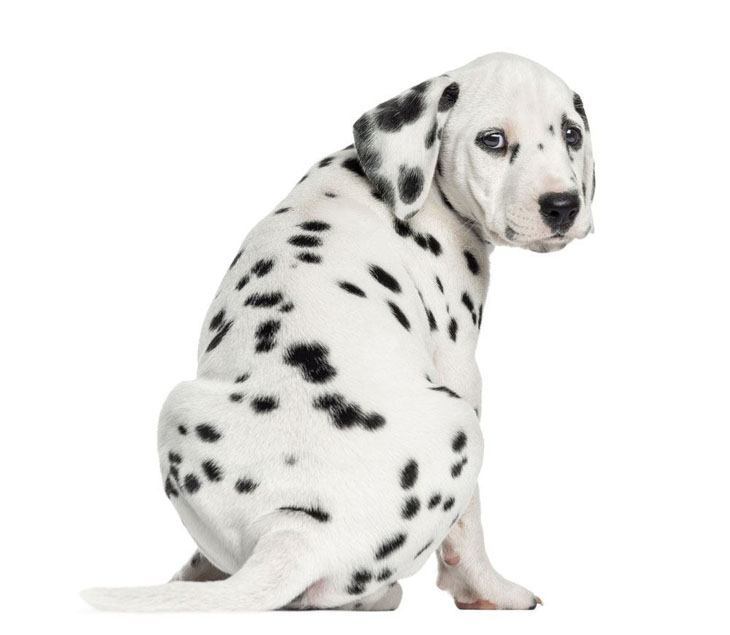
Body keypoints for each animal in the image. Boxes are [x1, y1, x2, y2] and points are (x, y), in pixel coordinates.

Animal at [82, 53, 592, 612]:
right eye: (493, 140)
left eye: (572, 133)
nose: (563, 206)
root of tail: (296, 532)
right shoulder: (462, 371)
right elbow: (469, 527)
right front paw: (489, 590)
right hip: (464, 425)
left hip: (178, 406)